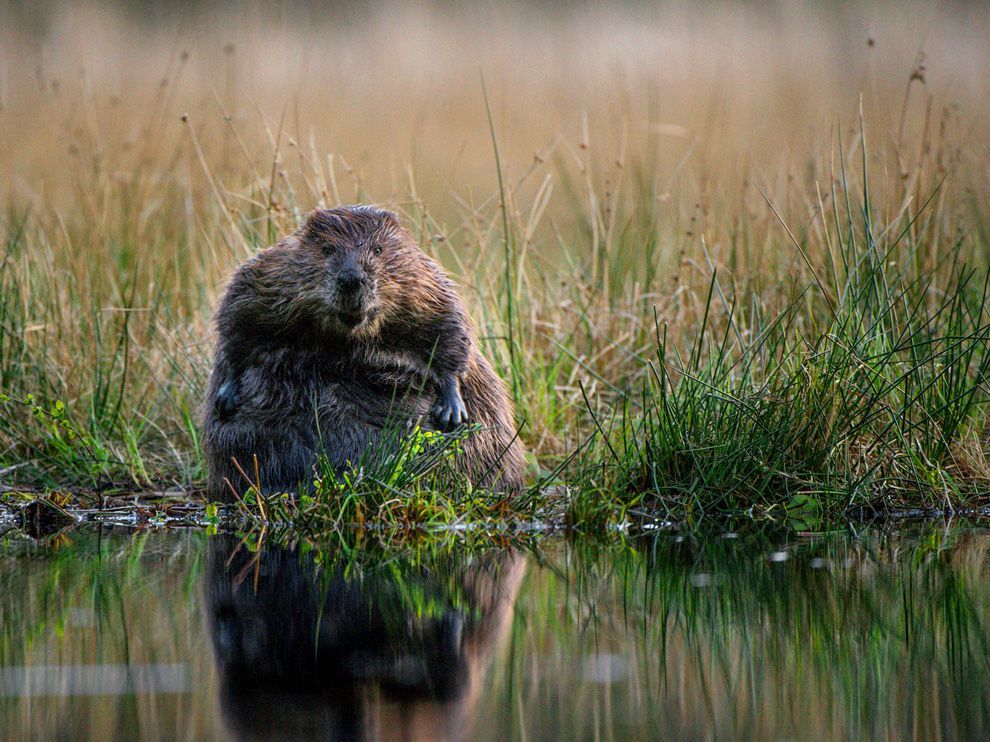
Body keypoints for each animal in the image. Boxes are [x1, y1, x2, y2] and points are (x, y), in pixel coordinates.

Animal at [202, 206, 528, 502]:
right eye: (326, 249)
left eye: (378, 249)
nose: (351, 278)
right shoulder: (272, 273)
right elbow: (237, 314)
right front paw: (227, 394)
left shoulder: (424, 282)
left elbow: (449, 326)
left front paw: (451, 408)